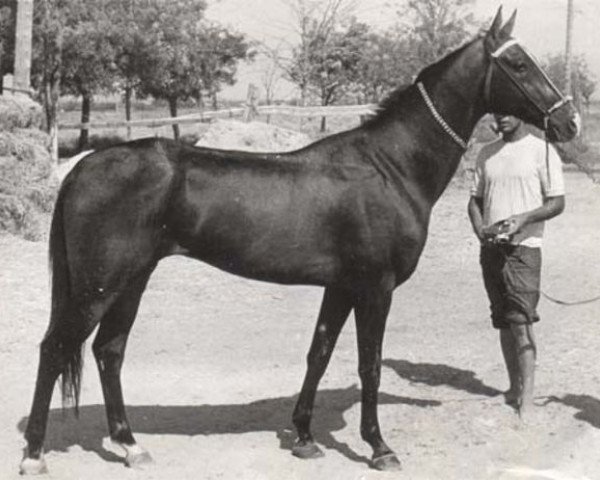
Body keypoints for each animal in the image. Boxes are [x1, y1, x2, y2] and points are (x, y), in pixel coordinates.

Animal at [21, 8, 580, 476]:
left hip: (131, 280)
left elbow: (320, 352)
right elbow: (369, 364)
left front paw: (305, 437)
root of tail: (83, 166)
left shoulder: (341, 287)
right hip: (98, 286)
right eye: (518, 63)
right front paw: (380, 448)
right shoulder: (375, 288)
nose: (569, 121)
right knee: (55, 348)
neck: (390, 166)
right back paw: (34, 454)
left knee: (108, 350)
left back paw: (130, 445)